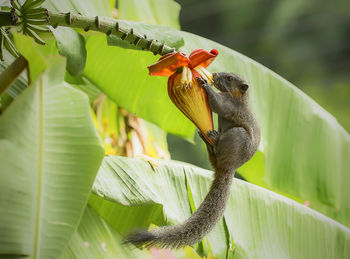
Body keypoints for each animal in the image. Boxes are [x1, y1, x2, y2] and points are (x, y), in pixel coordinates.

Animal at [125, 71, 260, 250]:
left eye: (230, 78)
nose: (214, 74)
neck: (240, 98)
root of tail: (228, 167)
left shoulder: (230, 106)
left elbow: (218, 105)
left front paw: (204, 83)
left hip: (237, 136)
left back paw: (214, 139)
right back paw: (207, 139)